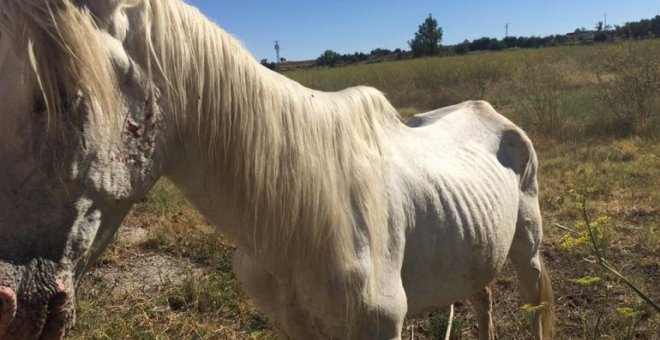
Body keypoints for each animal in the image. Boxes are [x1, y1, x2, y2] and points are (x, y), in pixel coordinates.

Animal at [0, 0, 556, 338]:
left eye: (60, 97)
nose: (10, 307)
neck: (302, 216)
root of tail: (492, 112)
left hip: (526, 251)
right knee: (481, 296)